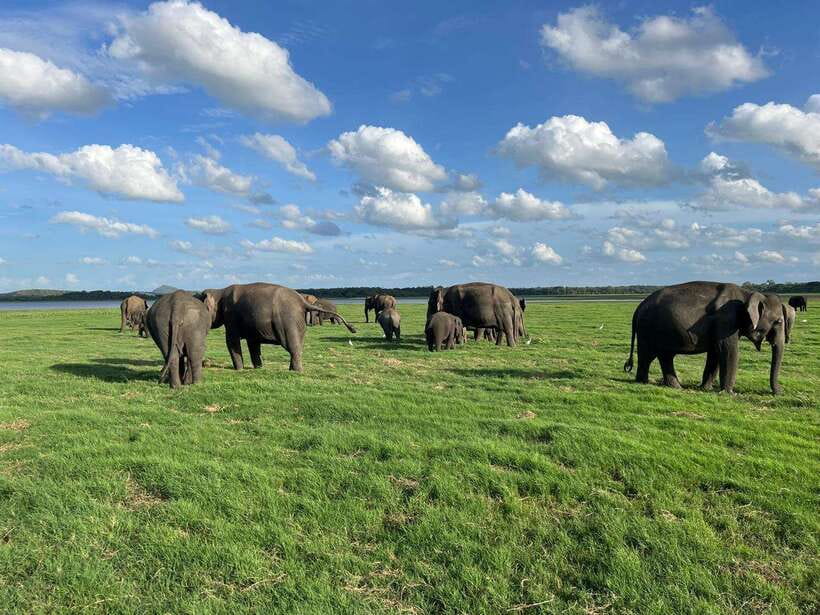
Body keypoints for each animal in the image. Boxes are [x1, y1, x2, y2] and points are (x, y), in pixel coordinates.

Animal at [200, 283, 356, 372]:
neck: (219, 291)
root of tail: (302, 301)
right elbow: (253, 343)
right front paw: (258, 368)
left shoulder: (231, 316)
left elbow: (231, 341)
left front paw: (239, 370)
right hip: (298, 323)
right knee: (298, 346)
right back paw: (292, 370)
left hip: (288, 321)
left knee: (292, 346)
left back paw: (296, 371)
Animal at [623, 281, 790, 395]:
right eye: (779, 321)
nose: (780, 392)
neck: (747, 294)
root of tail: (638, 307)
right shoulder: (726, 320)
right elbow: (729, 351)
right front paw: (730, 394)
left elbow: (715, 352)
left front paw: (705, 388)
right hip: (649, 329)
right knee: (650, 355)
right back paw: (647, 383)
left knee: (661, 356)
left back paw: (668, 385)